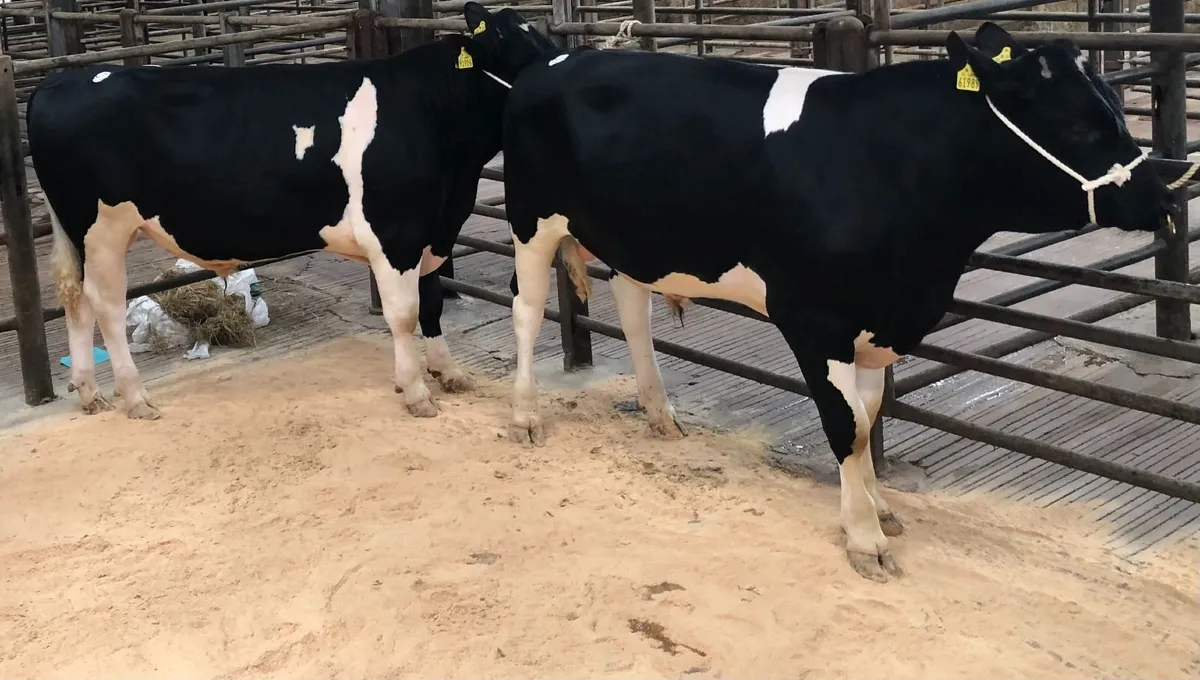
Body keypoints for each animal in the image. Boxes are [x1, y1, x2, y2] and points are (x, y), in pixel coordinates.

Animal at [28, 2, 555, 421]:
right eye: (516, 46)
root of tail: (61, 79)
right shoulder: (395, 232)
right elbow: (405, 314)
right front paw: (416, 392)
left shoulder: (430, 230)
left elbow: (432, 301)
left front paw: (448, 372)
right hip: (102, 228)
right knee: (105, 305)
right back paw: (135, 397)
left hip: (75, 233)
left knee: (75, 300)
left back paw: (91, 393)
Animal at [500, 23, 1176, 582]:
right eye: (1080, 125)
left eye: (1118, 109)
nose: (1164, 200)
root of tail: (557, 56)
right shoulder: (816, 319)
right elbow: (846, 425)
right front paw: (864, 538)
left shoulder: (877, 320)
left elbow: (870, 414)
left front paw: (878, 506)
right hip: (531, 219)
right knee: (527, 311)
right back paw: (526, 415)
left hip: (633, 235)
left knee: (631, 305)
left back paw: (659, 413)